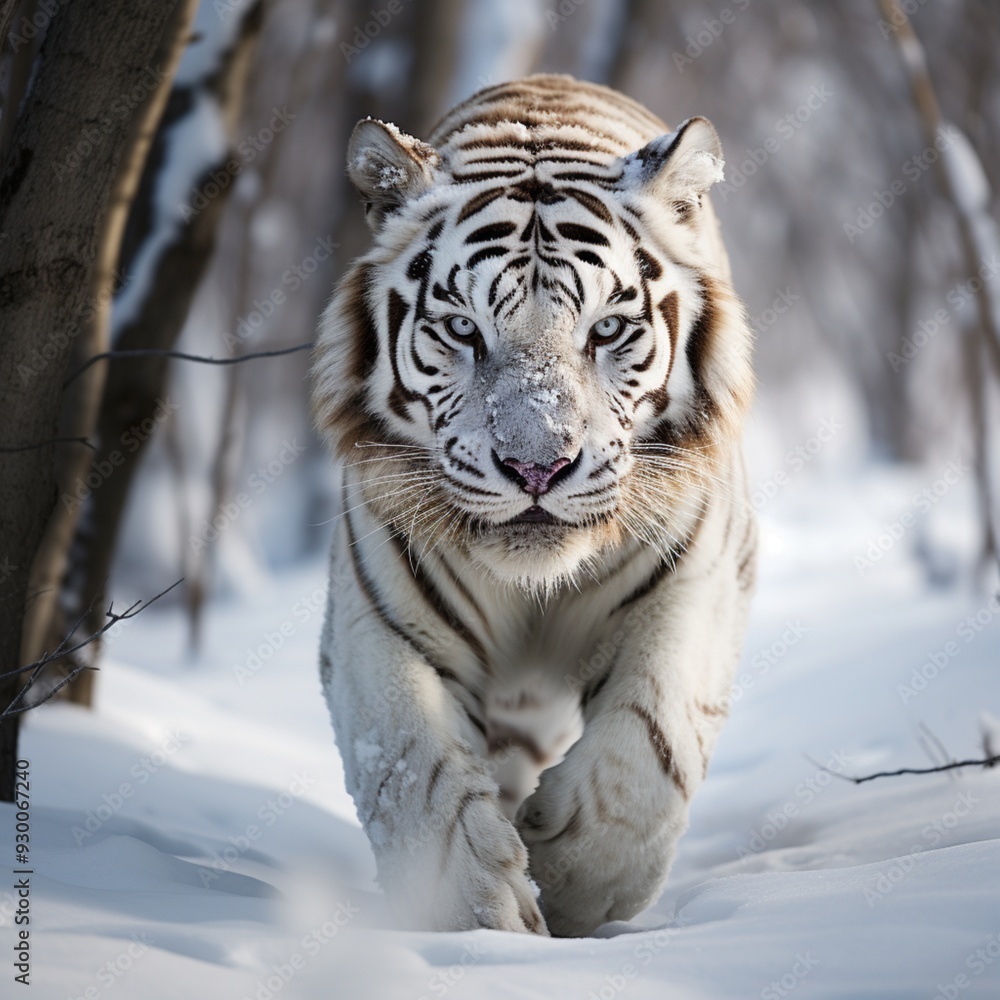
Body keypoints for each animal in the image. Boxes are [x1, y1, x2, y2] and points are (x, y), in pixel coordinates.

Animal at [310, 74, 756, 938]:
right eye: (461, 328)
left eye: (607, 329)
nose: (536, 466)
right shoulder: (377, 620)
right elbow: (409, 764)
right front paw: (479, 919)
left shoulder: (699, 584)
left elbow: (650, 741)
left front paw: (573, 881)